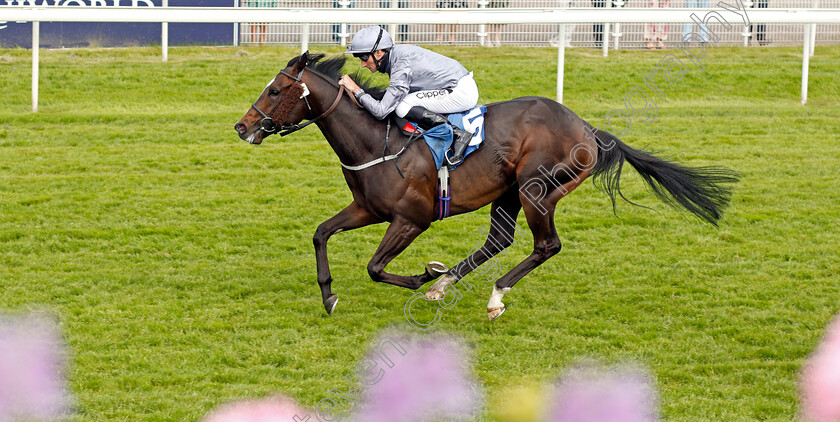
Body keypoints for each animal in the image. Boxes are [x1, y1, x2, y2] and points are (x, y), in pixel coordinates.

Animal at [233, 52, 740, 322]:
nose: (242, 127)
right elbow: (321, 233)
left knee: (546, 245)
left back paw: (493, 295)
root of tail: (588, 128)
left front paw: (423, 276)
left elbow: (376, 268)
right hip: (508, 192)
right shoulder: (368, 209)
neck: (377, 140)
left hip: (538, 188)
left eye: (275, 90)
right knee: (499, 240)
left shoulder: (411, 219)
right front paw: (329, 294)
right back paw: (449, 284)